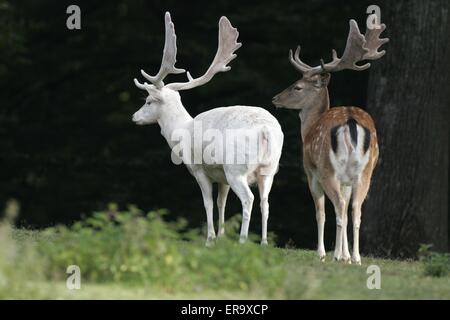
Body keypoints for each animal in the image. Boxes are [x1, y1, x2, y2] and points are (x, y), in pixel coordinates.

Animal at [132, 12, 284, 246]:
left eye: (148, 101)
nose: (134, 117)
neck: (181, 132)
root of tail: (266, 130)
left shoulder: (198, 169)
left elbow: (208, 202)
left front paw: (210, 239)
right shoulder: (221, 177)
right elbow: (222, 202)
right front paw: (221, 236)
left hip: (236, 168)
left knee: (248, 199)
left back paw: (242, 240)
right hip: (269, 168)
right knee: (265, 201)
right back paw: (264, 242)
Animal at [272, 18, 388, 264]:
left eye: (298, 86)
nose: (275, 98)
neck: (308, 129)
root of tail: (351, 121)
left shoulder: (310, 172)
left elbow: (321, 212)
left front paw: (323, 253)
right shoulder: (347, 180)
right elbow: (344, 209)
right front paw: (345, 255)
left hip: (327, 169)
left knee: (339, 206)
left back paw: (335, 256)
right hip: (366, 172)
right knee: (355, 208)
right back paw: (356, 257)